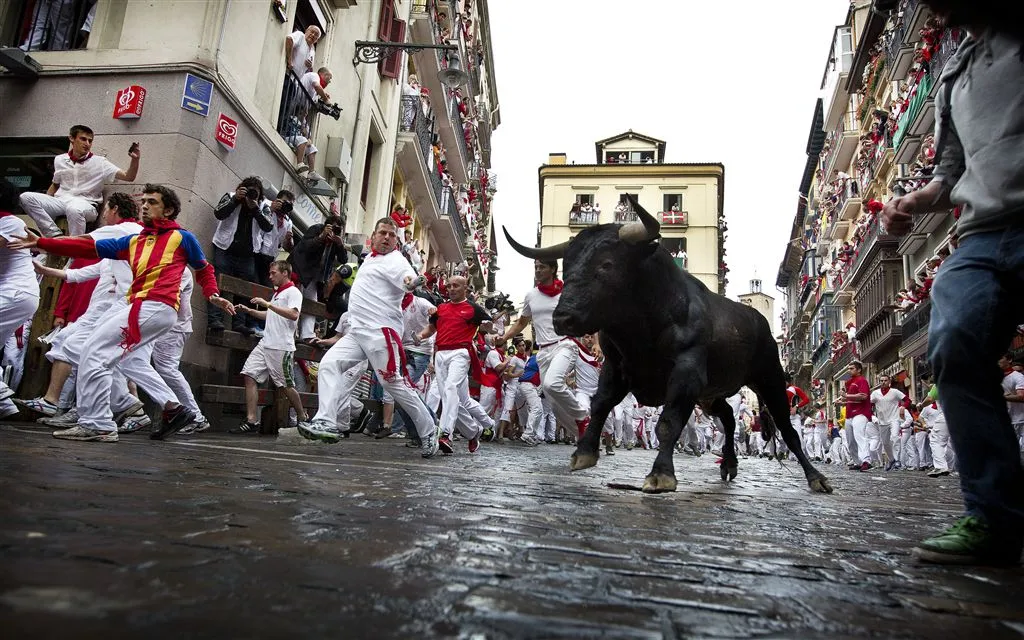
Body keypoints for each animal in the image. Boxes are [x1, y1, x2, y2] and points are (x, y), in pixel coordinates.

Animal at [503, 195, 831, 493]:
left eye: (606, 264)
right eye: (566, 266)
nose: (563, 318)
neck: (641, 329)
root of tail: (759, 321)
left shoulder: (687, 374)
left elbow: (668, 423)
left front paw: (661, 475)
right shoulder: (617, 368)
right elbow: (599, 405)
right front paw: (584, 453)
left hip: (769, 378)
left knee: (787, 429)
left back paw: (816, 478)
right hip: (711, 393)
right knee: (727, 417)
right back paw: (728, 464)